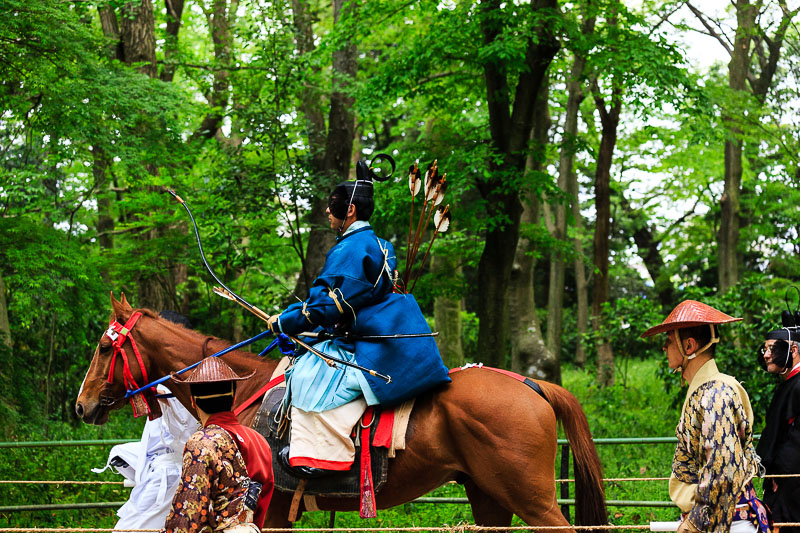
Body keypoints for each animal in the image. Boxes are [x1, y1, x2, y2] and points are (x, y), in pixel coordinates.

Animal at [78, 294, 608, 528]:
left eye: (104, 350)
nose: (81, 405)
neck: (241, 390)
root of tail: (530, 384)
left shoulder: (269, 512)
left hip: (531, 498)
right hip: (489, 496)